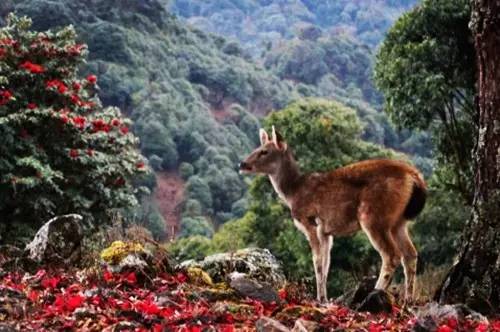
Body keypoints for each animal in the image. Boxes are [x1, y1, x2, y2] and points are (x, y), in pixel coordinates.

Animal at [238, 126, 426, 304]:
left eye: (264, 151)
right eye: (258, 147)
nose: (242, 164)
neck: (293, 192)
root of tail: (415, 177)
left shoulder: (310, 222)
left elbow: (317, 262)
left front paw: (320, 298)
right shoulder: (327, 232)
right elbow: (326, 263)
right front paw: (324, 298)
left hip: (373, 215)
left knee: (392, 255)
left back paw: (373, 293)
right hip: (398, 222)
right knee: (410, 254)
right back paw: (408, 300)